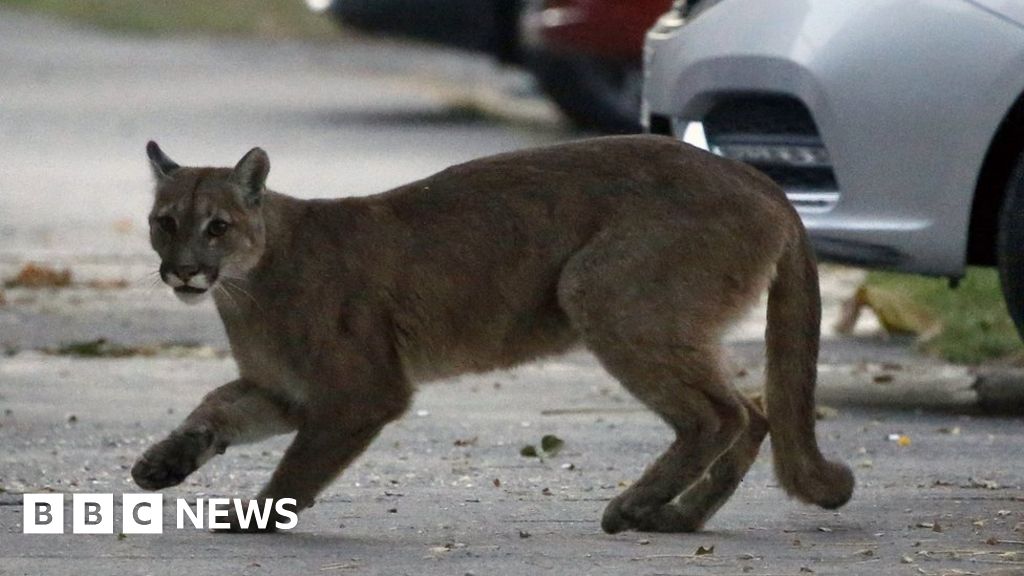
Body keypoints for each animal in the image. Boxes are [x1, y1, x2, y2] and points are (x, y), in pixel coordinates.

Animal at [136, 134, 856, 528]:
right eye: (165, 222)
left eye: (217, 227)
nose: (183, 270)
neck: (246, 285)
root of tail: (759, 178)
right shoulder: (285, 389)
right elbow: (216, 407)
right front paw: (163, 462)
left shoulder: (359, 393)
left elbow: (299, 462)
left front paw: (257, 515)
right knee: (755, 409)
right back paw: (678, 518)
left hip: (598, 289)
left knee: (718, 414)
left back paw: (634, 508)